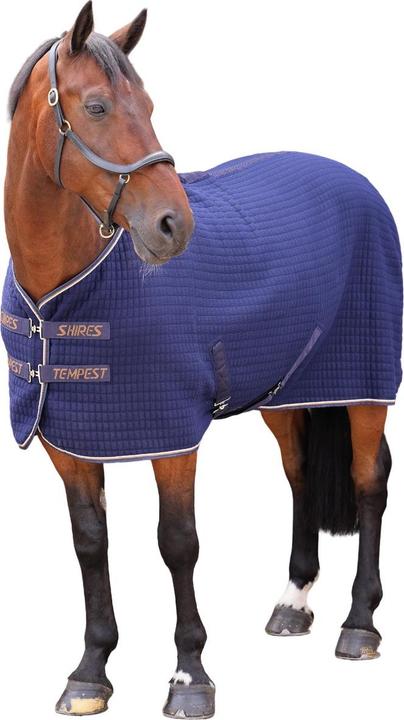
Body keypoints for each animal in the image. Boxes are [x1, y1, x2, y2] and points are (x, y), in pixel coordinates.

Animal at [2, 2, 402, 718]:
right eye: (97, 106)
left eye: (150, 104)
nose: (173, 225)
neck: (66, 294)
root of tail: (355, 180)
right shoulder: (68, 440)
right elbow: (90, 544)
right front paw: (90, 672)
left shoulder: (173, 436)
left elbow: (178, 543)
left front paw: (190, 676)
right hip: (284, 391)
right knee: (300, 473)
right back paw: (294, 602)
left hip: (363, 383)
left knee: (368, 482)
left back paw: (359, 624)